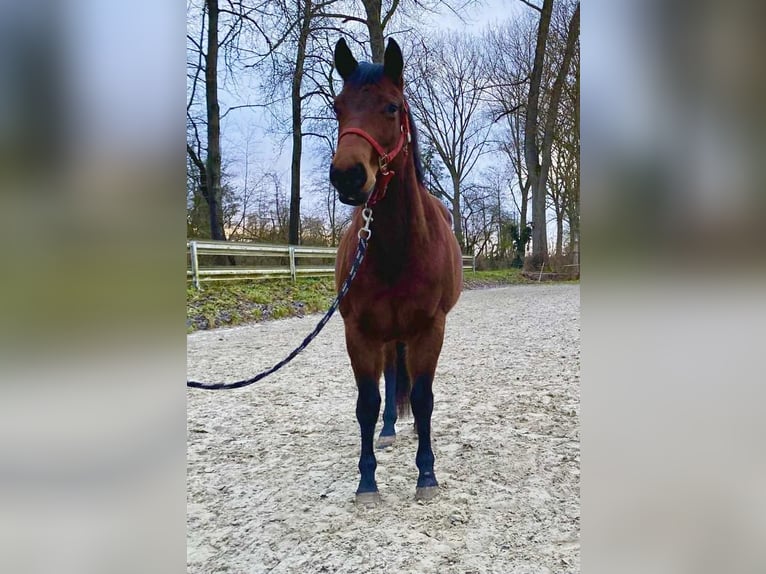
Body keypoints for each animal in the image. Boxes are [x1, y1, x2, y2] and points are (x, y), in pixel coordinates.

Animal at [330, 37, 463, 503]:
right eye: (338, 107)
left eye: (391, 107)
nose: (348, 176)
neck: (396, 249)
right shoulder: (359, 332)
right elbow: (367, 403)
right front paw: (367, 480)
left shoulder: (430, 328)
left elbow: (423, 399)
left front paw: (427, 474)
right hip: (386, 336)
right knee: (389, 377)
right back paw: (388, 429)